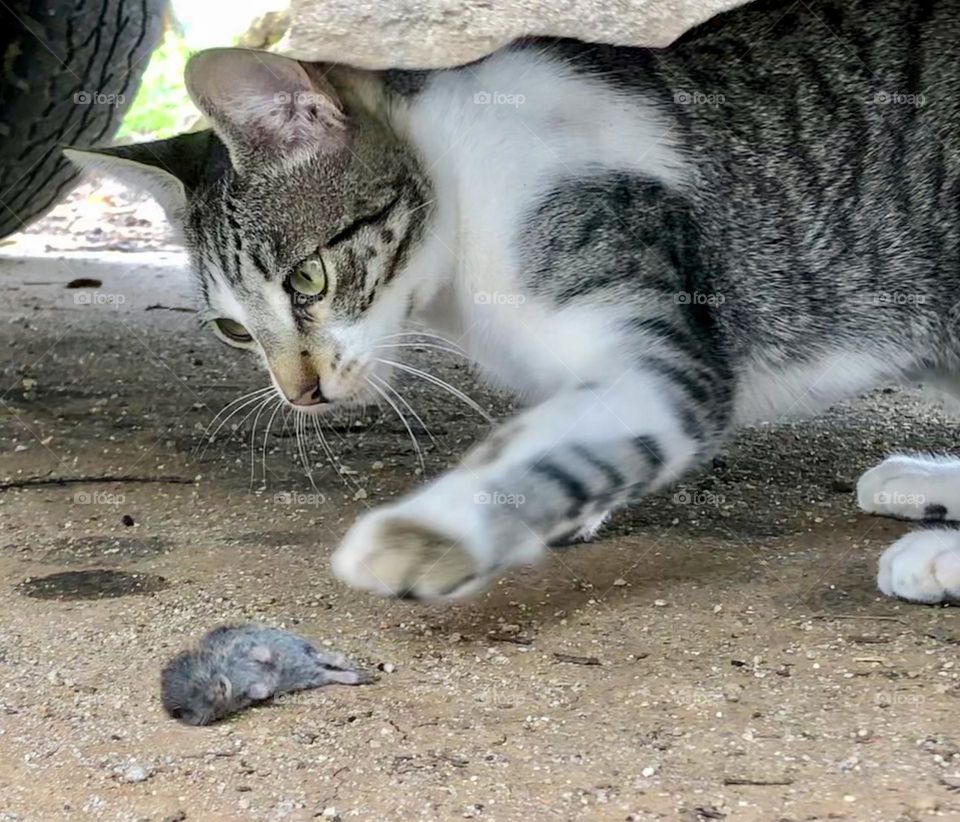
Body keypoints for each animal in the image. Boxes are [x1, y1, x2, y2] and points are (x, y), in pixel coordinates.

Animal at [67, 0, 960, 604]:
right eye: (231, 328)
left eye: (307, 280)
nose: (302, 392)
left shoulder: (661, 358)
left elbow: (550, 445)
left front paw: (430, 532)